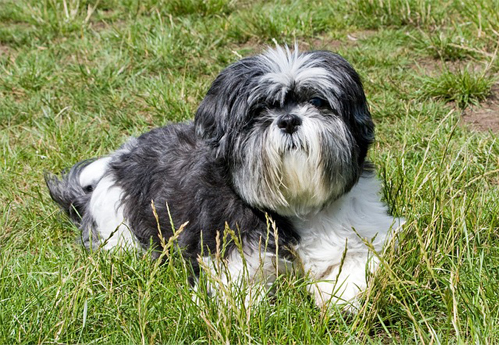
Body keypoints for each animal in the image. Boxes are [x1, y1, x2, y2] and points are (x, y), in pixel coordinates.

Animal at [45, 46, 402, 310]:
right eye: (259, 110)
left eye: (316, 101)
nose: (288, 120)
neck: (296, 204)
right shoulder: (232, 261)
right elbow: (243, 297)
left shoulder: (370, 231)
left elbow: (357, 267)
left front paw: (338, 297)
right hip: (120, 232)